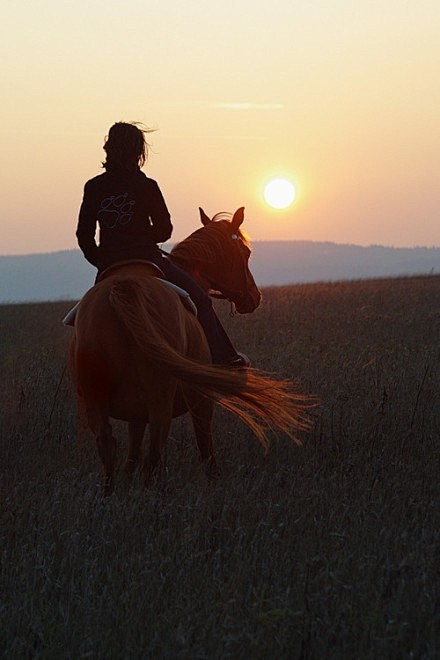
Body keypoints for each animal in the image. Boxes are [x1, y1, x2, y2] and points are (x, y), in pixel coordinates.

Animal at [70, 209, 312, 492]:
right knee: (155, 453)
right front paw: (214, 483)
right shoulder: (201, 399)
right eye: (246, 252)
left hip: (96, 403)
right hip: (161, 400)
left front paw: (128, 484)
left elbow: (132, 452)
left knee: (109, 445)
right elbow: (205, 446)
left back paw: (111, 493)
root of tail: (124, 288)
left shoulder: (135, 414)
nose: (254, 297)